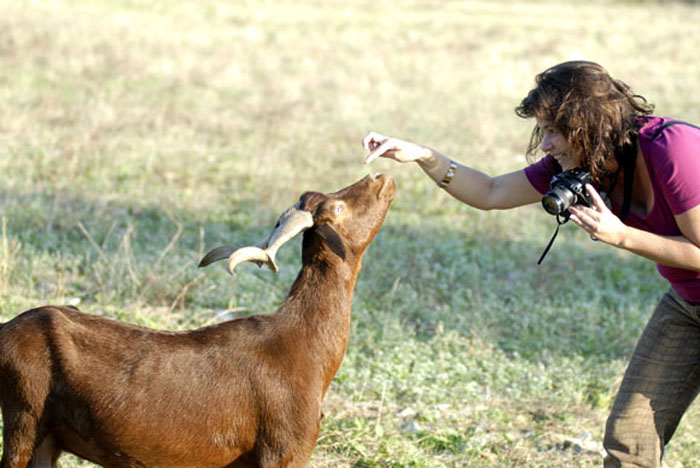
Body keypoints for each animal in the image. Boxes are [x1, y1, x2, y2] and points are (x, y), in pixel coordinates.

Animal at [0, 174, 394, 468]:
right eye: (338, 207)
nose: (381, 177)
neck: (305, 344)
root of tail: (5, 330)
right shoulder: (285, 447)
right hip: (24, 418)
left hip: (45, 438)